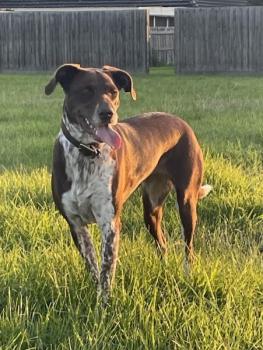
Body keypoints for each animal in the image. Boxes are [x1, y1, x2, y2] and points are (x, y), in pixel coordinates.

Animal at [45, 64, 212, 302]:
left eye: (113, 91)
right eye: (86, 90)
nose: (108, 114)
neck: (87, 153)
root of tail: (181, 122)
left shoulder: (110, 223)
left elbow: (106, 269)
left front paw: (103, 305)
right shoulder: (75, 224)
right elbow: (93, 266)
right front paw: (95, 293)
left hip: (187, 202)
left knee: (188, 248)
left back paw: (187, 276)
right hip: (151, 209)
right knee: (162, 244)